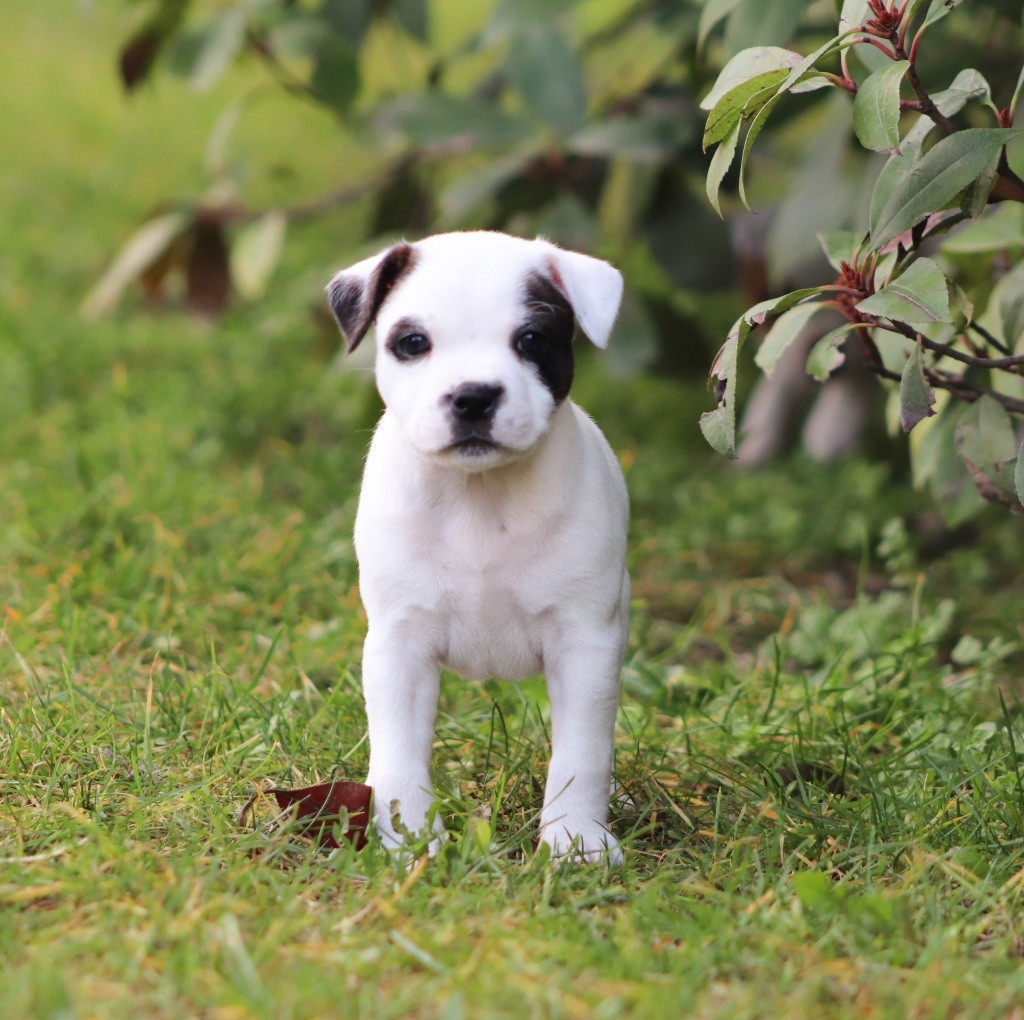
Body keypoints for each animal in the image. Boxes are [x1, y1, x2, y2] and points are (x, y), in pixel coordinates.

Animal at [327, 231, 630, 860]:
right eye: (412, 343)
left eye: (531, 340)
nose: (473, 396)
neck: (480, 495)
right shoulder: (399, 645)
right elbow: (398, 752)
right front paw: (410, 838)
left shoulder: (586, 644)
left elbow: (582, 754)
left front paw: (576, 840)